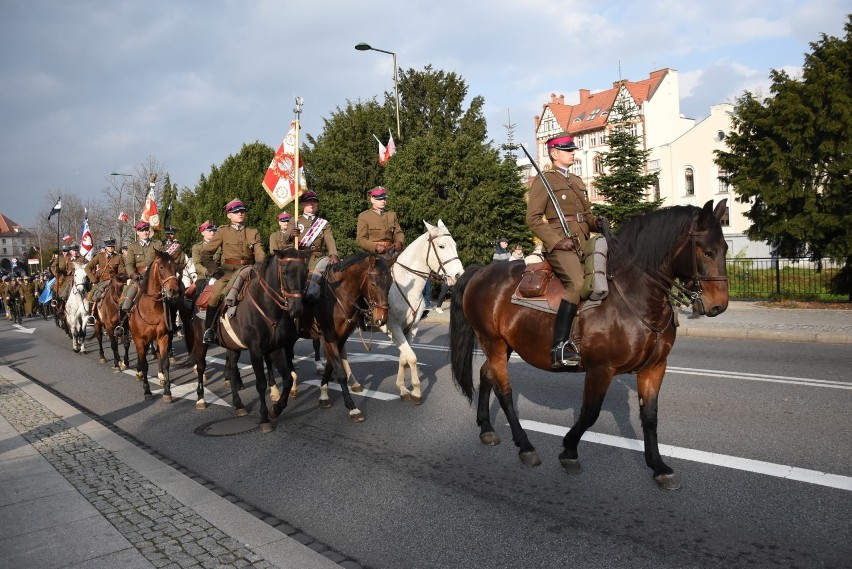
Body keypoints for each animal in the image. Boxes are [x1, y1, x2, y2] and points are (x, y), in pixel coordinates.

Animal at [128, 251, 181, 402]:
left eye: (175, 267)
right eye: (161, 267)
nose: (174, 290)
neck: (150, 308)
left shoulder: (163, 337)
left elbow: (165, 362)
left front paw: (167, 391)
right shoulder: (139, 340)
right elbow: (144, 364)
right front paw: (147, 391)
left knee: (156, 354)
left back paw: (161, 376)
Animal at [282, 253, 394, 422]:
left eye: (390, 283)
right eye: (373, 283)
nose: (382, 318)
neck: (339, 297)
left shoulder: (340, 338)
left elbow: (330, 366)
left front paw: (323, 395)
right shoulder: (329, 336)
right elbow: (340, 372)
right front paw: (352, 407)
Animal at [338, 220, 462, 402]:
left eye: (454, 245)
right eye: (441, 246)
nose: (459, 275)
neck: (406, 287)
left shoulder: (412, 328)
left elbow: (404, 358)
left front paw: (403, 388)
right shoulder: (393, 328)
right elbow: (411, 357)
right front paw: (416, 391)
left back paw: (352, 382)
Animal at [450, 200, 728, 488]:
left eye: (725, 249)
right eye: (707, 251)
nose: (718, 305)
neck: (633, 297)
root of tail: (482, 270)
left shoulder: (654, 368)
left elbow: (650, 417)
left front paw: (658, 466)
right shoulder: (600, 369)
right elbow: (590, 413)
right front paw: (569, 450)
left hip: (504, 345)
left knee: (486, 375)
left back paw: (486, 428)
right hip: (492, 341)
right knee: (503, 391)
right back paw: (525, 446)